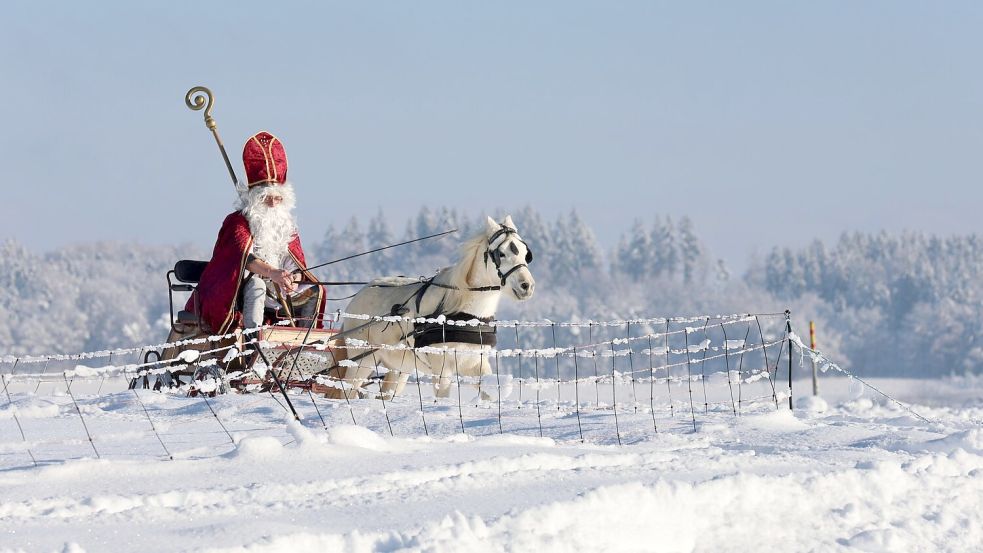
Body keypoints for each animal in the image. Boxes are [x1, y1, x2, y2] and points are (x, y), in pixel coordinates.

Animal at [336, 213, 540, 398]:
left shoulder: (475, 362)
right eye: (501, 254)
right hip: (362, 361)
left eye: (525, 253)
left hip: (399, 367)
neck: (465, 313)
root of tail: (360, 294)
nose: (527, 286)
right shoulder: (442, 367)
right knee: (348, 391)